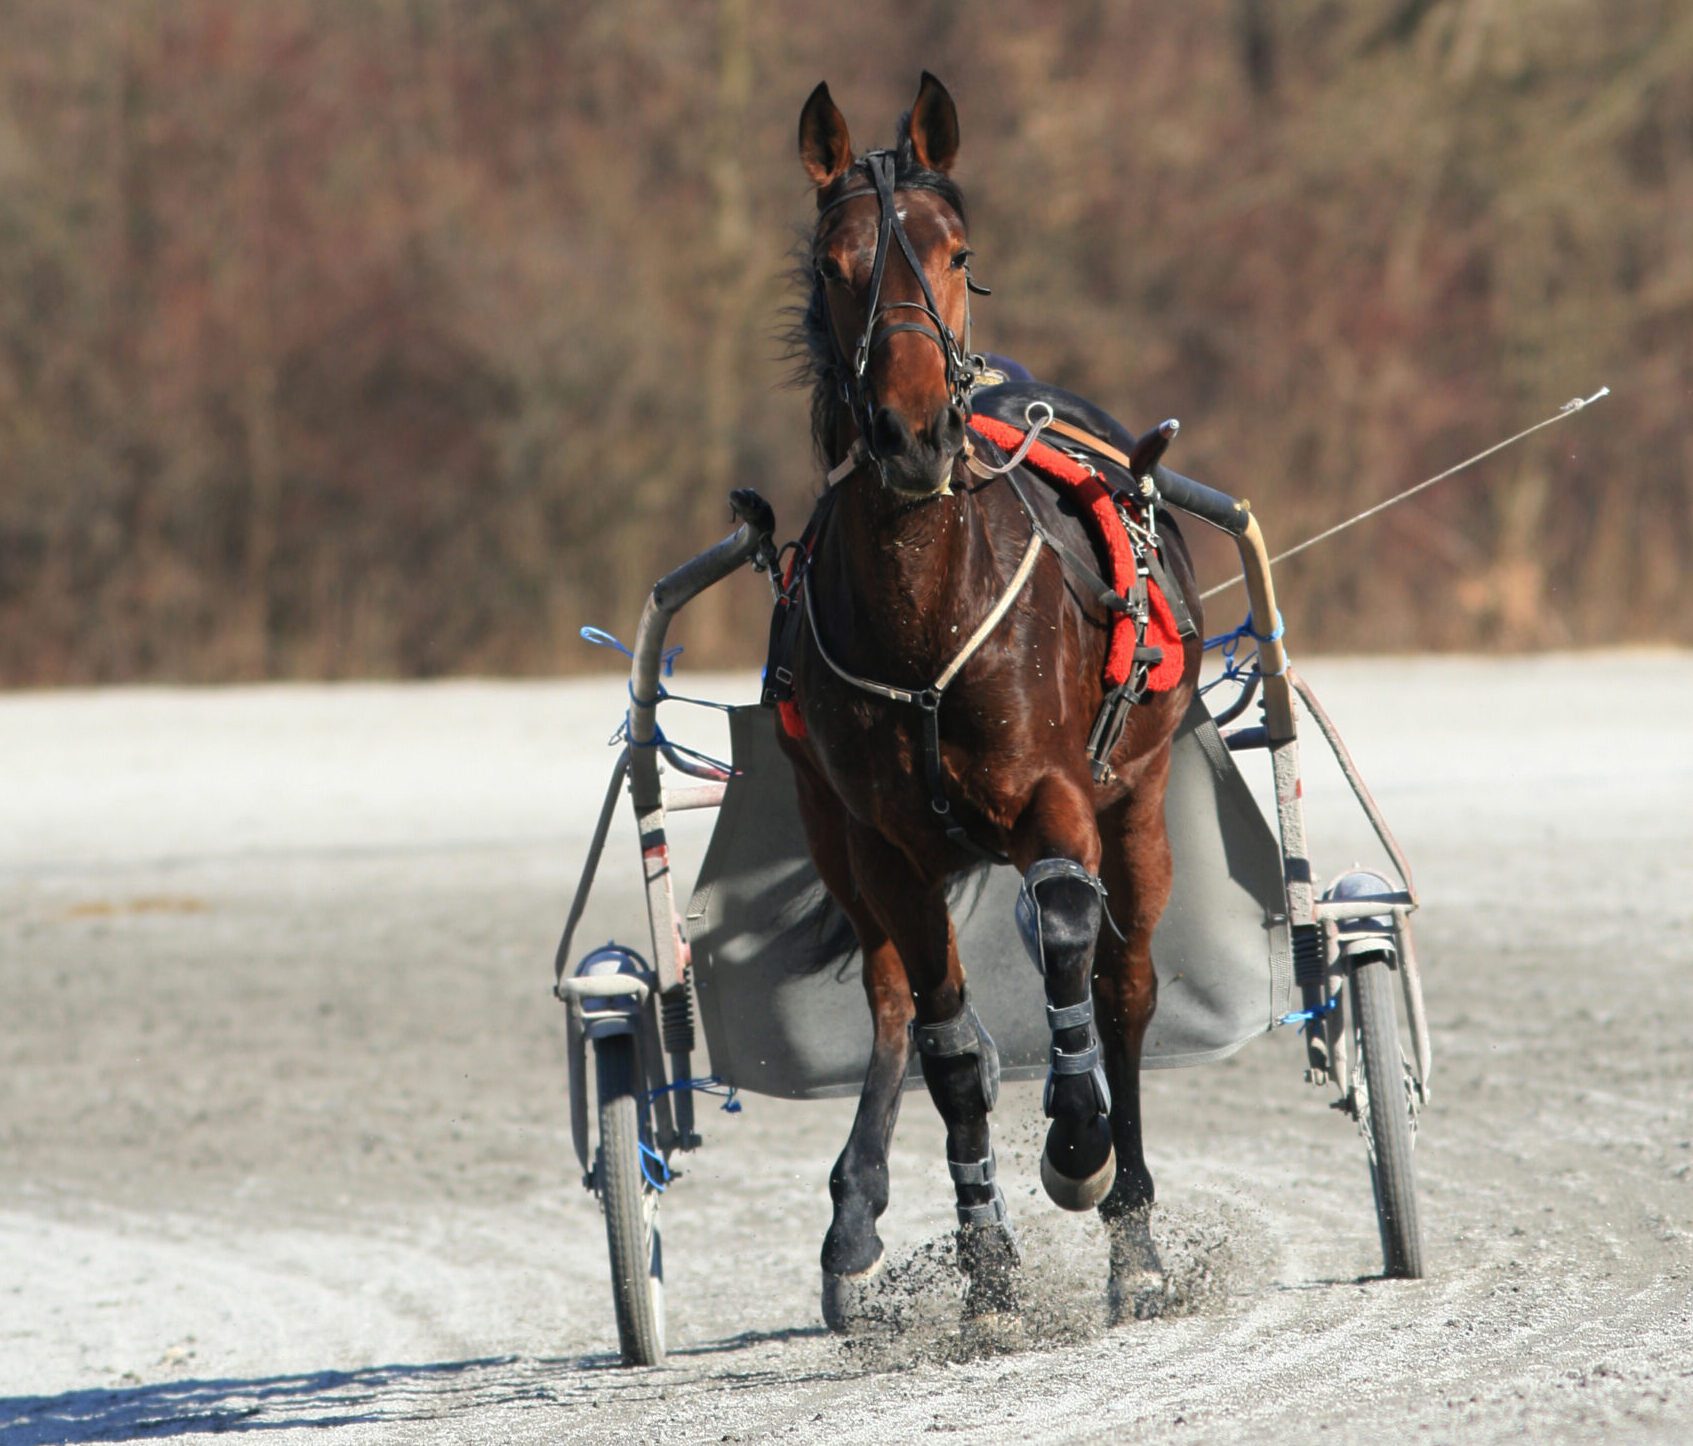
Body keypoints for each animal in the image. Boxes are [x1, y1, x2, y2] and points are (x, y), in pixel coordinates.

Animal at [778, 73, 1205, 1327]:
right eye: (835, 262)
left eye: (957, 253)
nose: (914, 432)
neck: (924, 603)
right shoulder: (886, 846)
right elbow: (949, 1045)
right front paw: (986, 1274)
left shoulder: (1053, 792)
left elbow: (1064, 924)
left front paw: (1079, 1150)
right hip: (833, 832)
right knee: (890, 1000)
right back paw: (860, 1218)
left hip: (1139, 797)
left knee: (1120, 984)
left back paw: (1134, 1239)